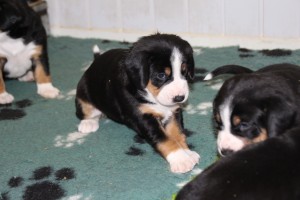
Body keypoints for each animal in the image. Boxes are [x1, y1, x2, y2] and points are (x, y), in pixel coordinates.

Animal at [76, 33, 200, 173]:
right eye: (161, 75)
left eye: (184, 71)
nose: (179, 97)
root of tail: (96, 60)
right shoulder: (143, 117)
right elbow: (165, 139)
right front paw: (181, 159)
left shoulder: (173, 112)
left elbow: (178, 133)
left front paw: (187, 153)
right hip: (84, 90)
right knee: (85, 109)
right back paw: (88, 123)